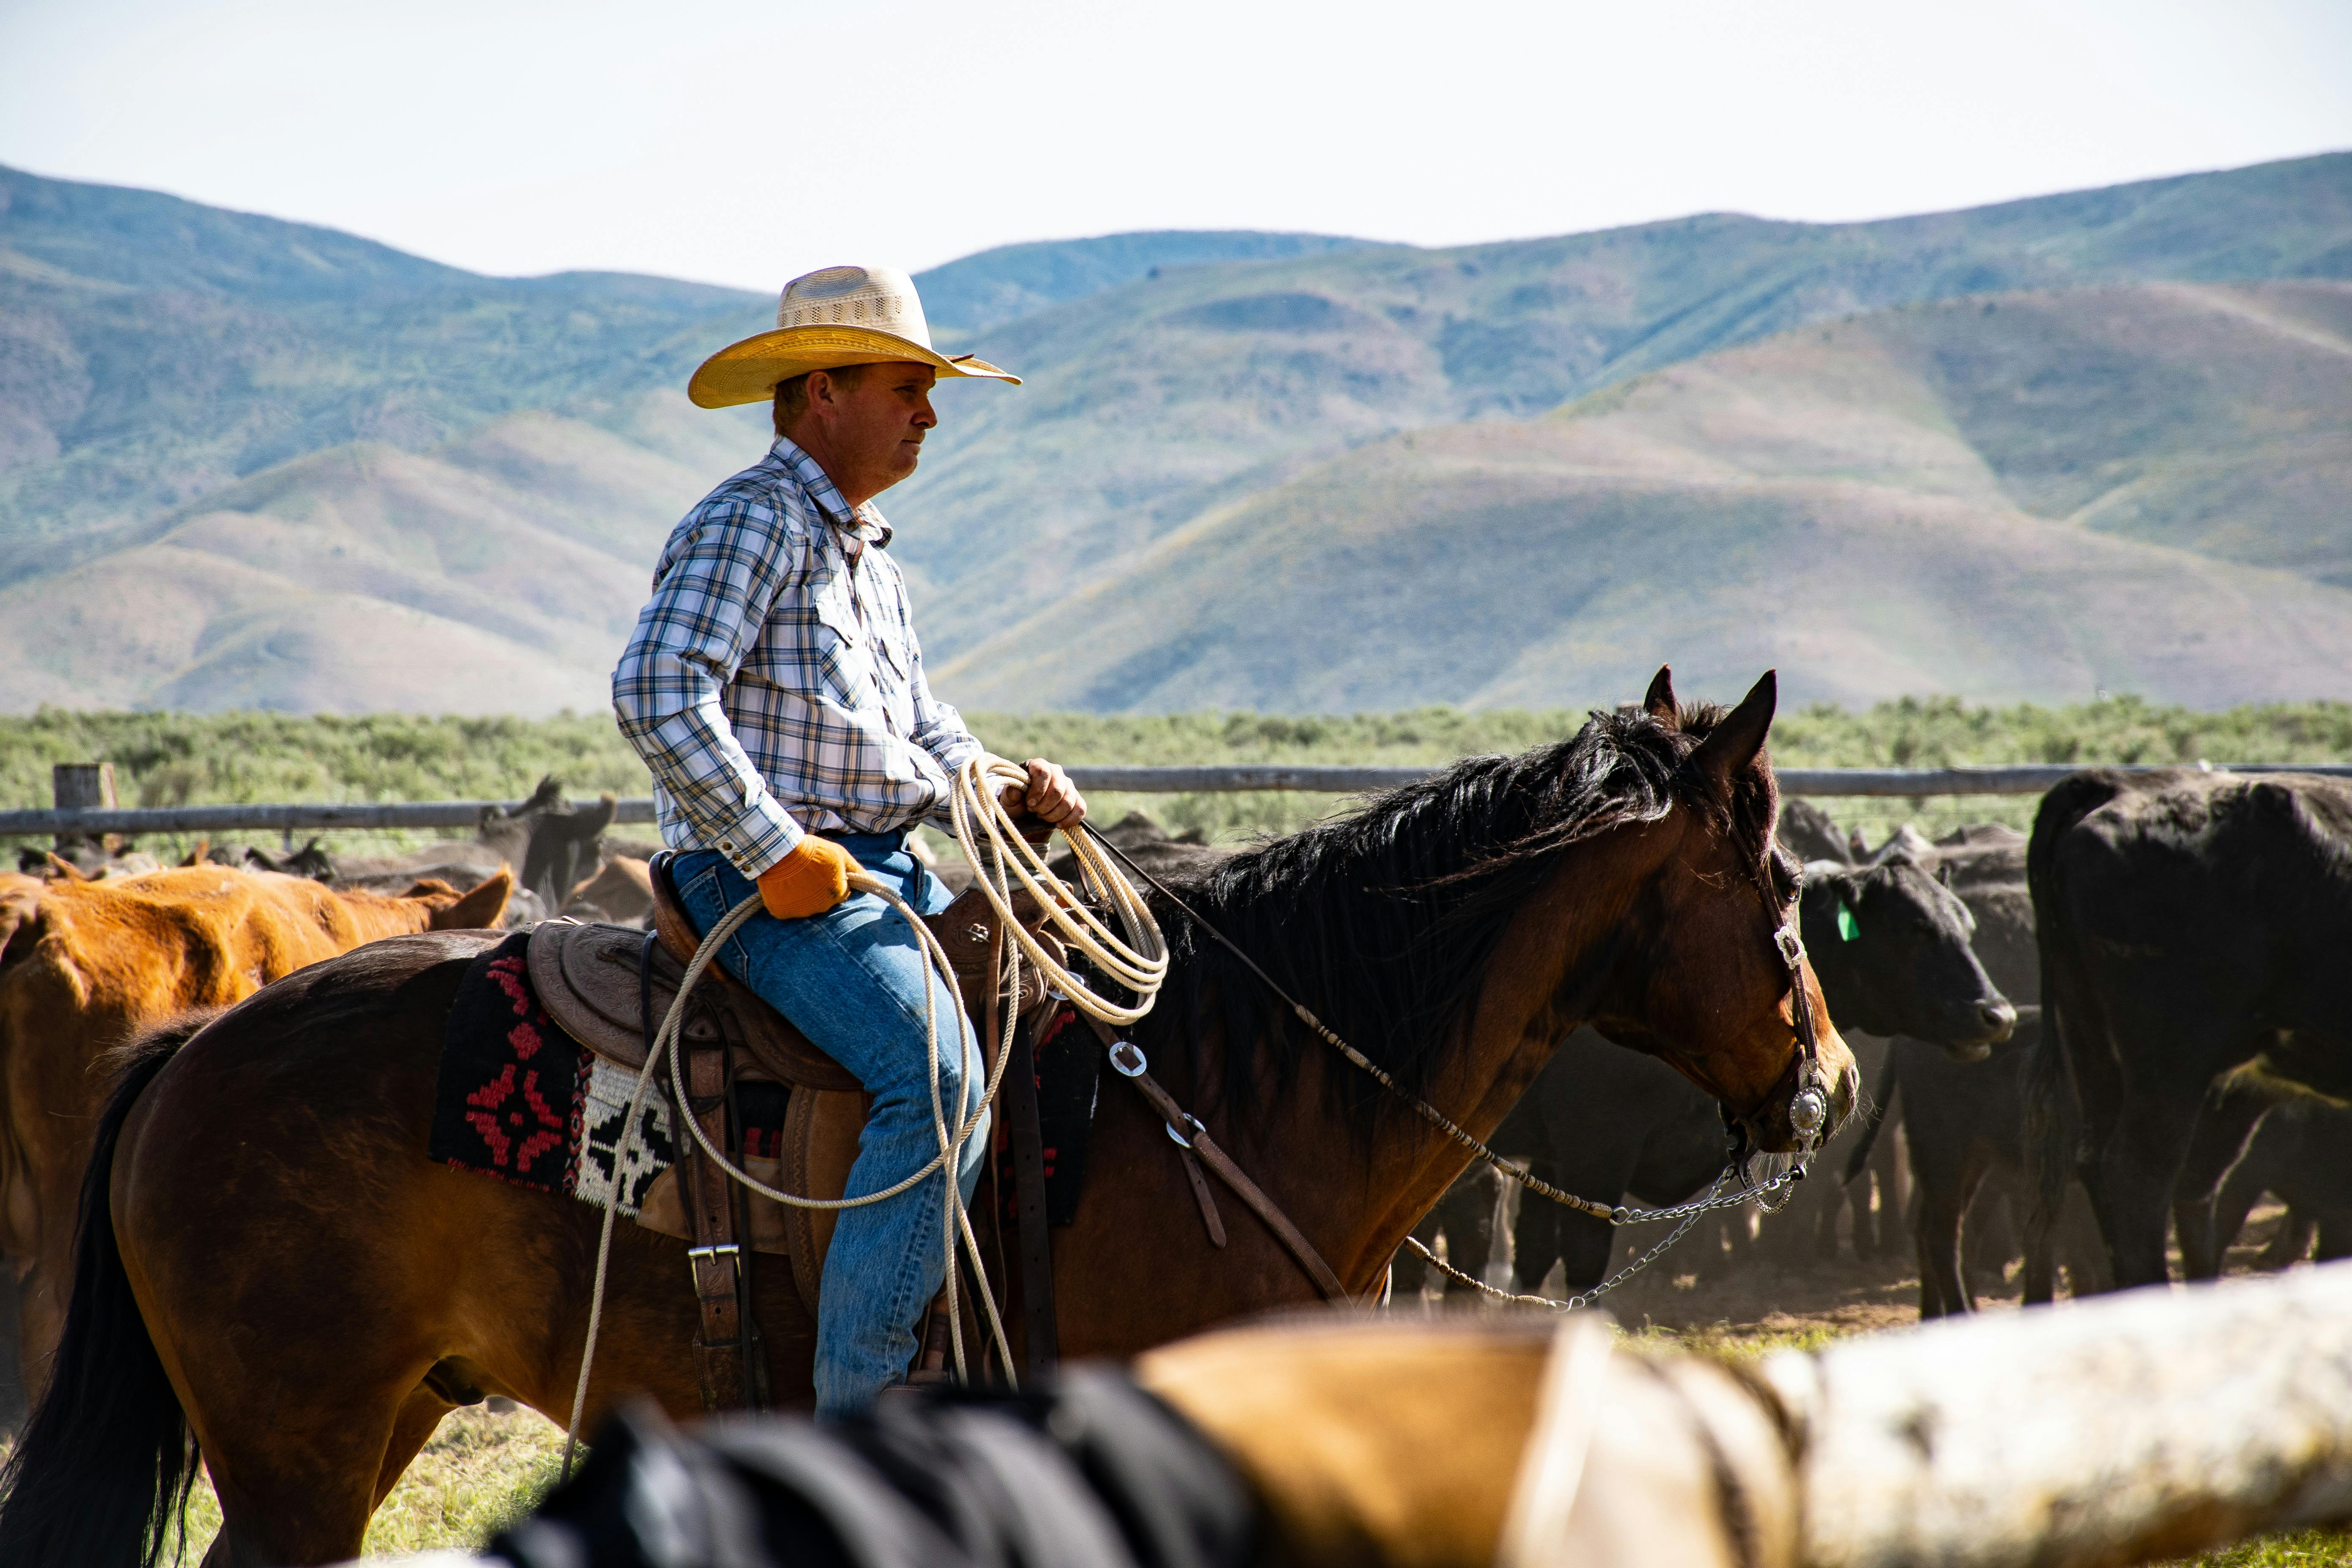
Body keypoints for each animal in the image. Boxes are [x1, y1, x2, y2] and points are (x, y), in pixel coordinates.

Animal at [0, 667, 1853, 1561]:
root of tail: (198, 1052)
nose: (1826, 1085)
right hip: (301, 1451)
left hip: (364, 1423)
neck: (1231, 1082)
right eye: (1777, 886)